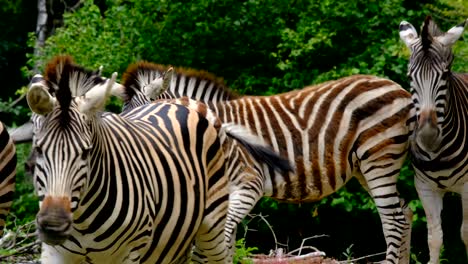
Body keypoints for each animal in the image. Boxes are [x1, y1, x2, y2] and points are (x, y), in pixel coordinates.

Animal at [112, 60, 414, 262]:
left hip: (379, 157)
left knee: (394, 218)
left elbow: (217, 243)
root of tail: (398, 88)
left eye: (148, 118)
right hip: (364, 166)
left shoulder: (247, 186)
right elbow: (225, 244)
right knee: (405, 210)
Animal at [400, 16, 466, 262]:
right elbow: (435, 237)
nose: (427, 137)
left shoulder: (467, 186)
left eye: (445, 75)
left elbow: (466, 232)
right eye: (410, 77)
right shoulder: (425, 187)